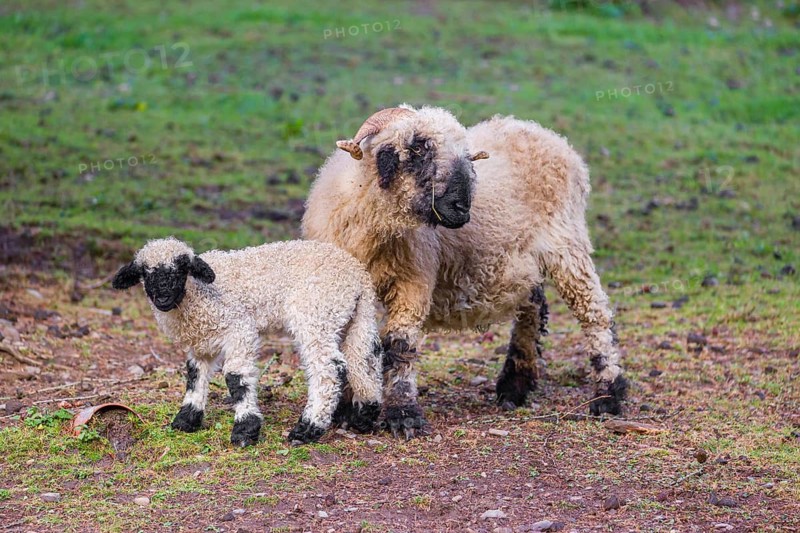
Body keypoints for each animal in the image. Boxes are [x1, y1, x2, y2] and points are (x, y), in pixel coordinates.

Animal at [111, 237, 383, 446]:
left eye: (182, 268)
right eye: (145, 273)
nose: (163, 297)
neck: (197, 296)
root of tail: (359, 275)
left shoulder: (240, 329)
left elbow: (235, 377)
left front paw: (245, 429)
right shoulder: (202, 343)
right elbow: (194, 376)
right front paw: (186, 419)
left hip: (316, 313)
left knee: (329, 370)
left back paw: (308, 429)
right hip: (352, 317)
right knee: (365, 358)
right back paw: (366, 415)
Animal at [302, 105, 628, 438]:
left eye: (466, 156)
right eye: (417, 148)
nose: (461, 207)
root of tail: (545, 134)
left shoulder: (413, 280)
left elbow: (400, 345)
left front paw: (404, 416)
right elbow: (347, 345)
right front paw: (346, 412)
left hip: (567, 242)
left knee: (594, 313)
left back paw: (608, 396)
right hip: (522, 262)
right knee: (534, 306)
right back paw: (515, 386)